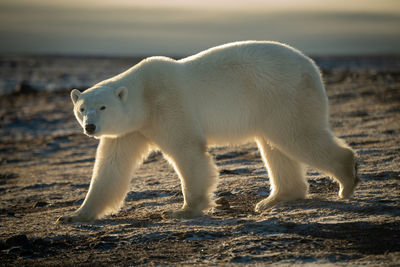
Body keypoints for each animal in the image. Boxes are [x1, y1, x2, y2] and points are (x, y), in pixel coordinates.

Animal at [56, 40, 360, 224]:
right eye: (82, 108)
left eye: (103, 106)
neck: (143, 94)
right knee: (275, 146)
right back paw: (274, 199)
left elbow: (188, 150)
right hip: (271, 104)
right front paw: (74, 215)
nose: (90, 127)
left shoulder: (168, 104)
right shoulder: (131, 130)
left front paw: (183, 210)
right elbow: (110, 168)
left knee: (297, 135)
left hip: (282, 94)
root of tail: (312, 66)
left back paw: (346, 181)